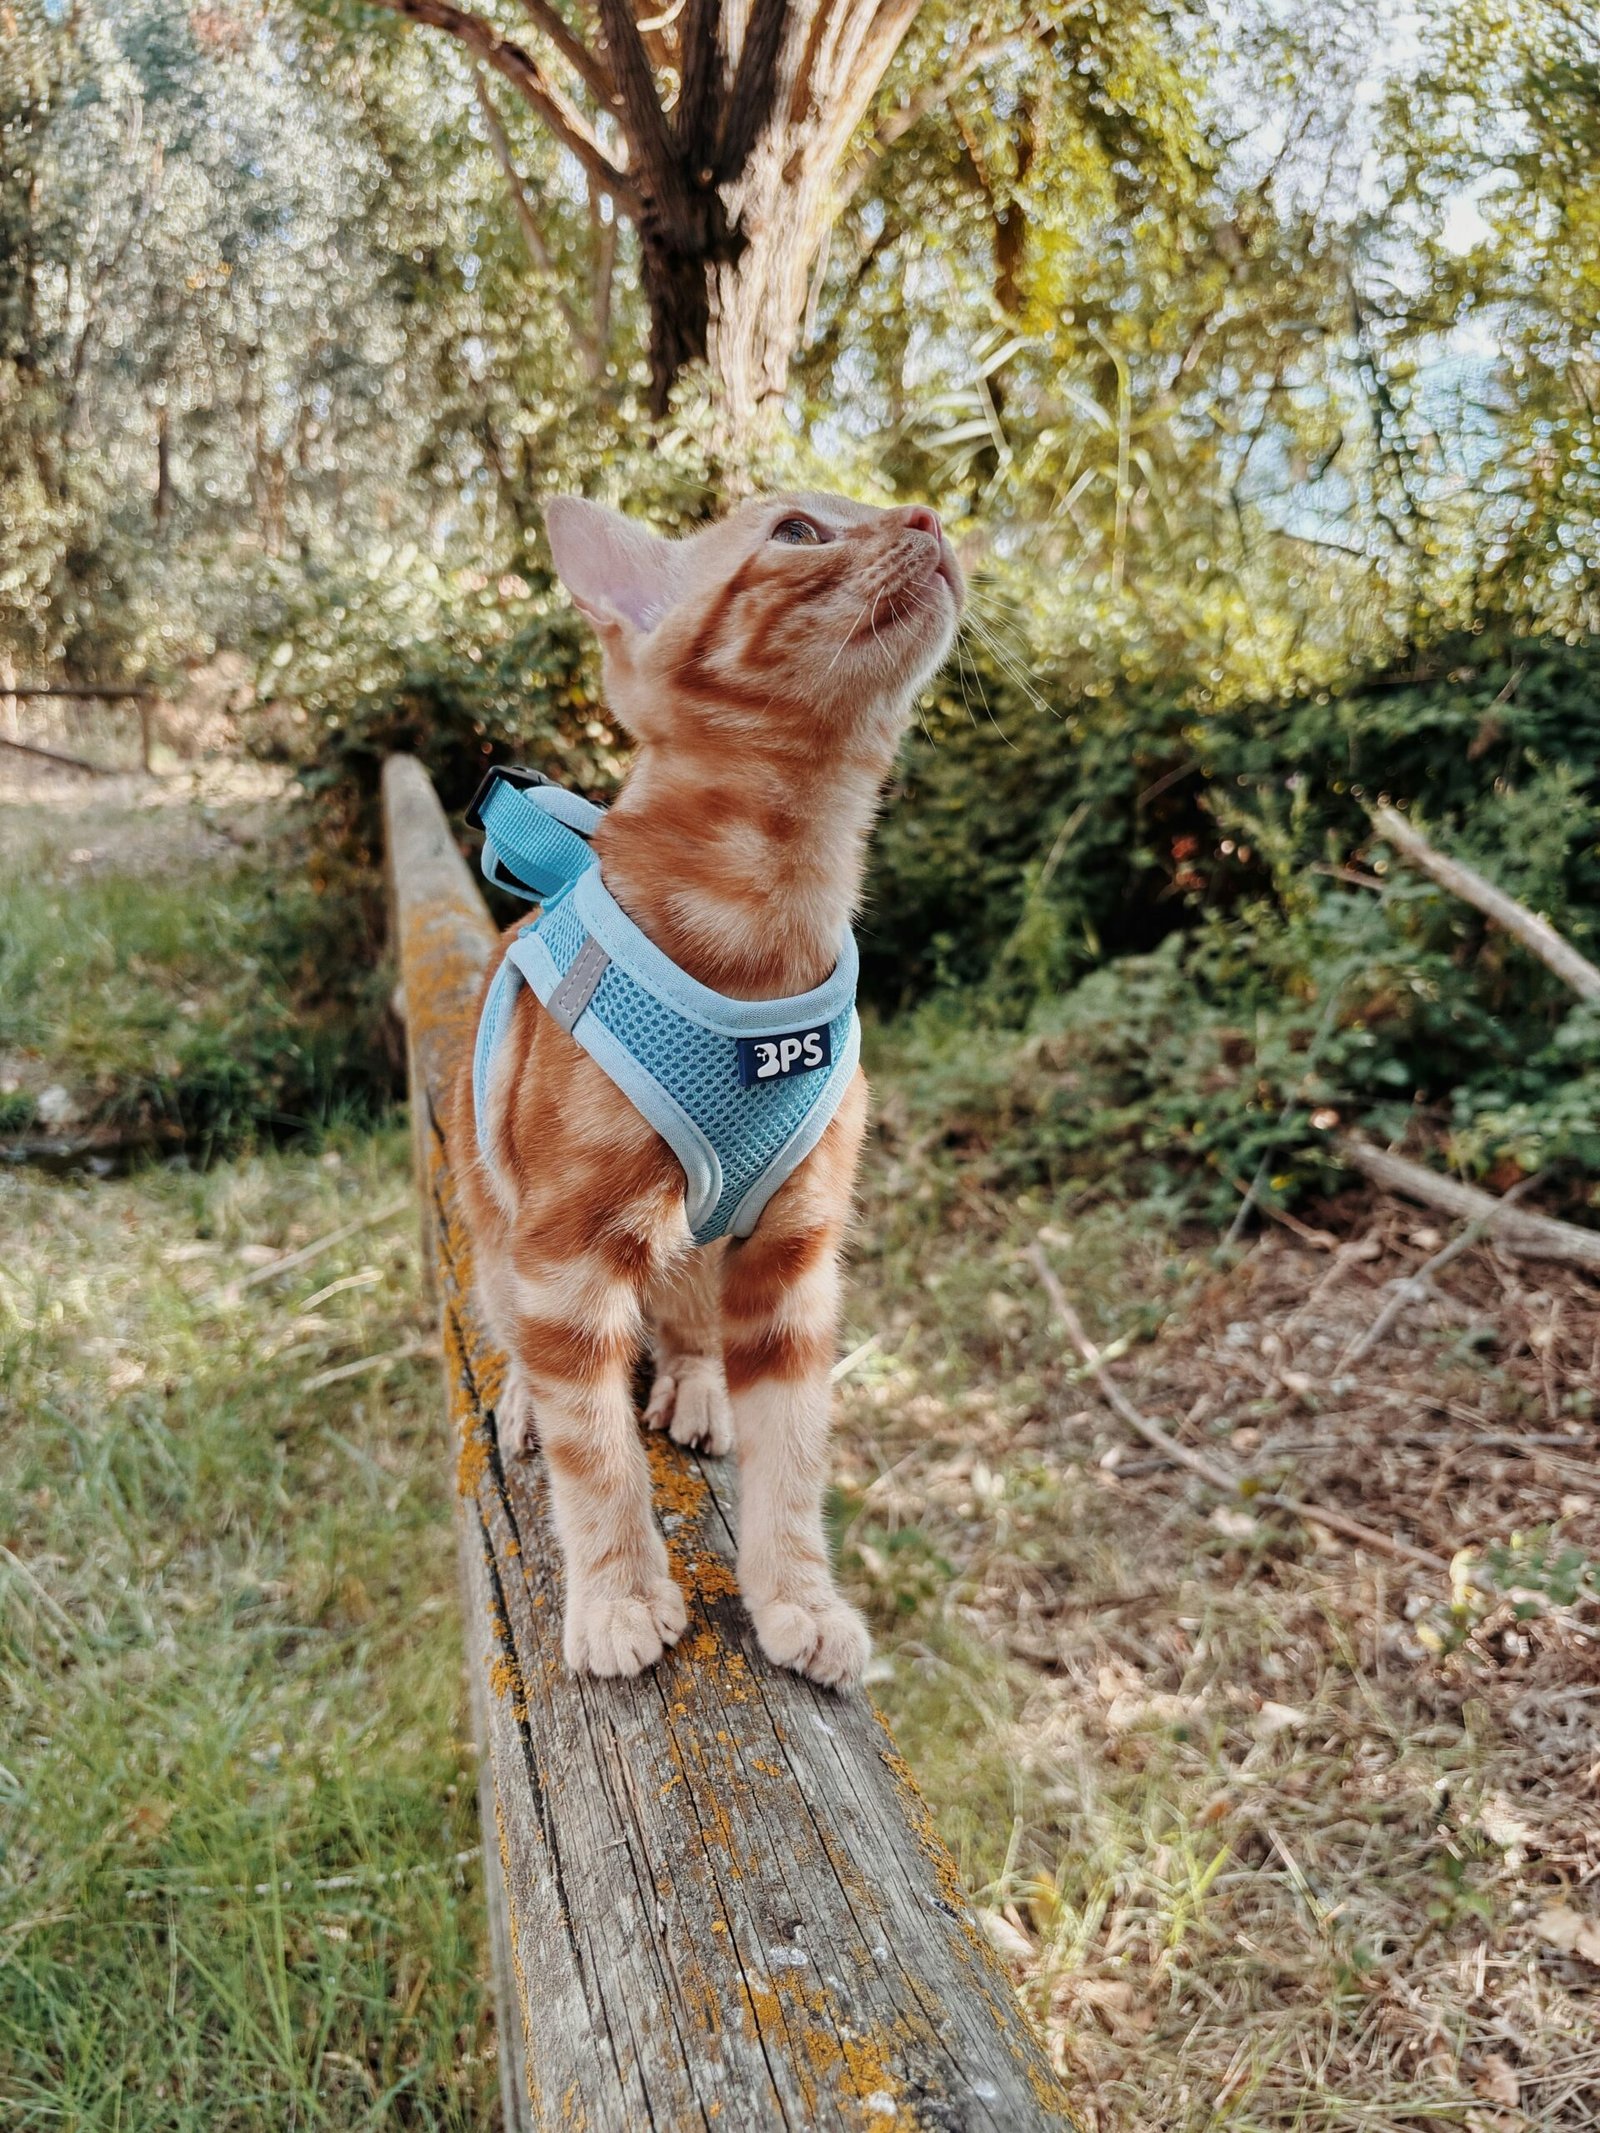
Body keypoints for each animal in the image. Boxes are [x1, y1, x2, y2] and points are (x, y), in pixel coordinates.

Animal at [454, 490, 964, 1689]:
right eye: (798, 532)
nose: (930, 514)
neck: (773, 921)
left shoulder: (794, 1257)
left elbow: (797, 1455)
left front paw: (798, 1599)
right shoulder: (563, 1254)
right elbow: (597, 1454)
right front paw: (616, 1596)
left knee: (684, 1321)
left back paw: (694, 1380)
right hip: (497, 1240)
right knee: (521, 1341)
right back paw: (526, 1398)